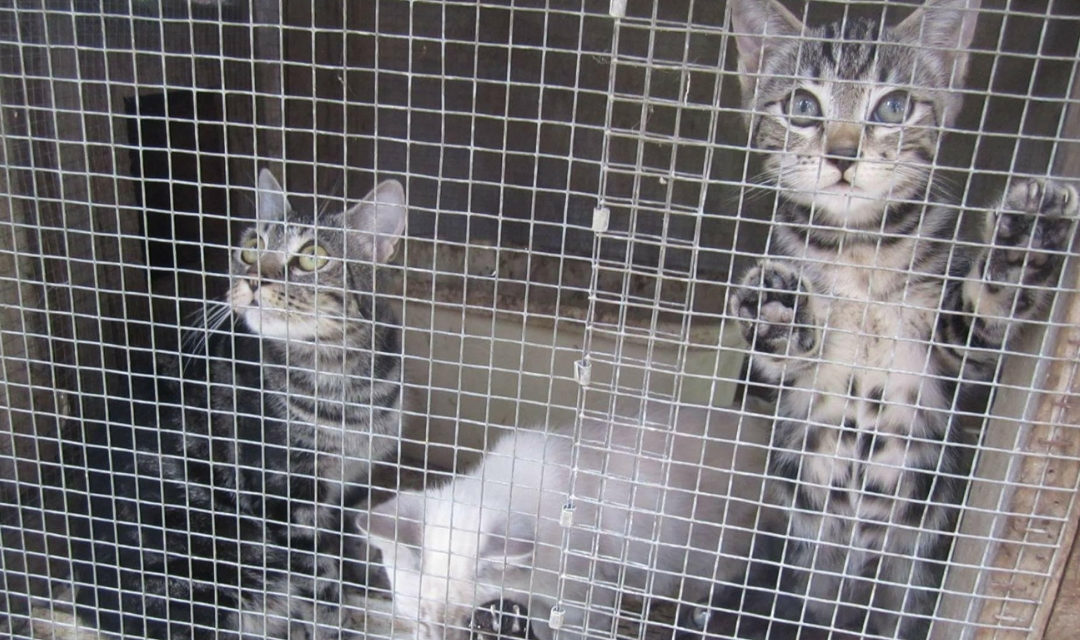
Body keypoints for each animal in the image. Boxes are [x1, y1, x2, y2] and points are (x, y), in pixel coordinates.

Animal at [66, 167, 408, 634]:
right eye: (252, 248)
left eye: (312, 257)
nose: (254, 278)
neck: (345, 379)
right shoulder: (288, 495)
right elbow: (320, 581)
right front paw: (333, 623)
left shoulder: (348, 485)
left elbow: (344, 548)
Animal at [358, 403, 773, 638]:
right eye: (421, 620)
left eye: (472, 622)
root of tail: (758, 423)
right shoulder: (544, 605)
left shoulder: (582, 603)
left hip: (710, 558)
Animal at [678, 1, 1075, 638]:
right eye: (803, 106)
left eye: (892, 106)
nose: (842, 154)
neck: (860, 250)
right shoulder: (774, 379)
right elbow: (776, 365)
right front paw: (776, 311)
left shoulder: (952, 354)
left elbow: (983, 316)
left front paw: (1024, 239)